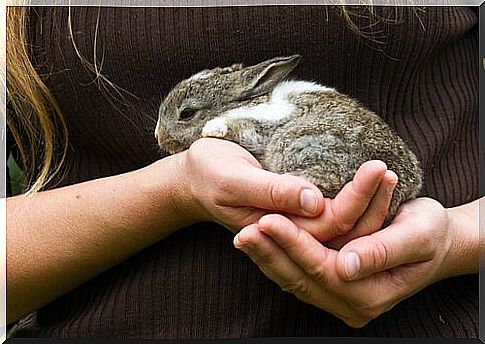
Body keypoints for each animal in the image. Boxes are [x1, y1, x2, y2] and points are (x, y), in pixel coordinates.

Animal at [155, 55, 420, 219]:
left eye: (187, 113)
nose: (159, 136)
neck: (247, 101)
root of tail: (406, 189)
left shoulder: (263, 124)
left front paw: (212, 128)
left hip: (300, 142)